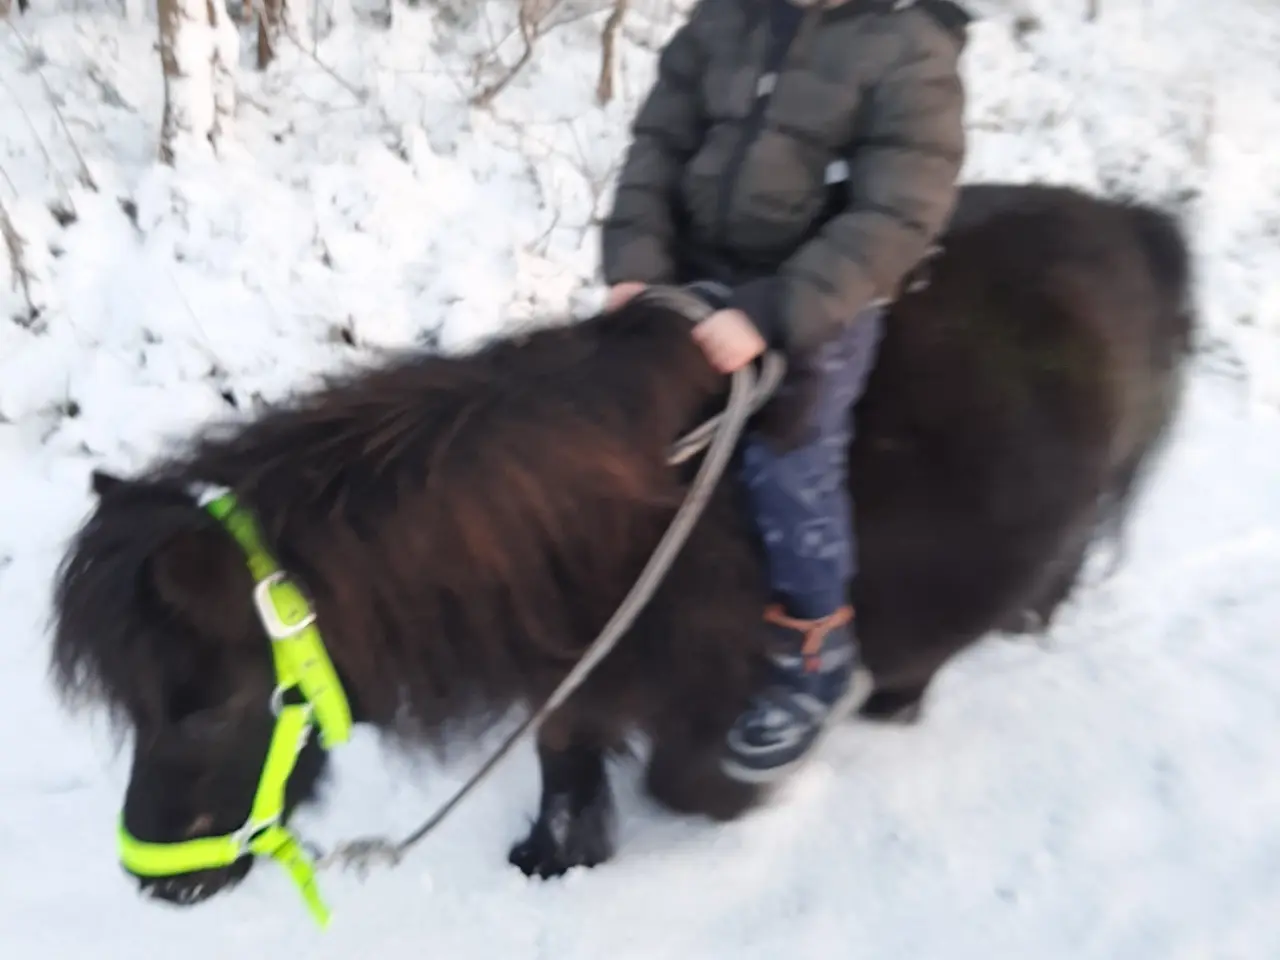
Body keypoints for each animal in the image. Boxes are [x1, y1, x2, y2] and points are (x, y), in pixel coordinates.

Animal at [48, 182, 1194, 913]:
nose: (159, 881)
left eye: (208, 708)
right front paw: (556, 853)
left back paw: (902, 691)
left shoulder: (708, 686)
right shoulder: (571, 665)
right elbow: (565, 752)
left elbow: (686, 779)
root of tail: (1129, 220)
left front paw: (742, 797)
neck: (610, 527)